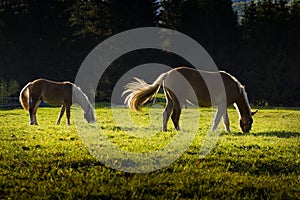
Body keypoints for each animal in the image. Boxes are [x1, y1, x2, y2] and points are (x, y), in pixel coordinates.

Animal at [123, 67, 256, 133]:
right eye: (250, 122)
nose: (246, 132)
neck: (233, 86)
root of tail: (167, 74)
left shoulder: (222, 106)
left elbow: (225, 120)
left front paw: (228, 131)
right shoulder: (222, 106)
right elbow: (218, 120)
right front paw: (213, 131)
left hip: (170, 101)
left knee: (166, 114)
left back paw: (164, 129)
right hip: (178, 101)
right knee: (174, 116)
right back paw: (179, 130)